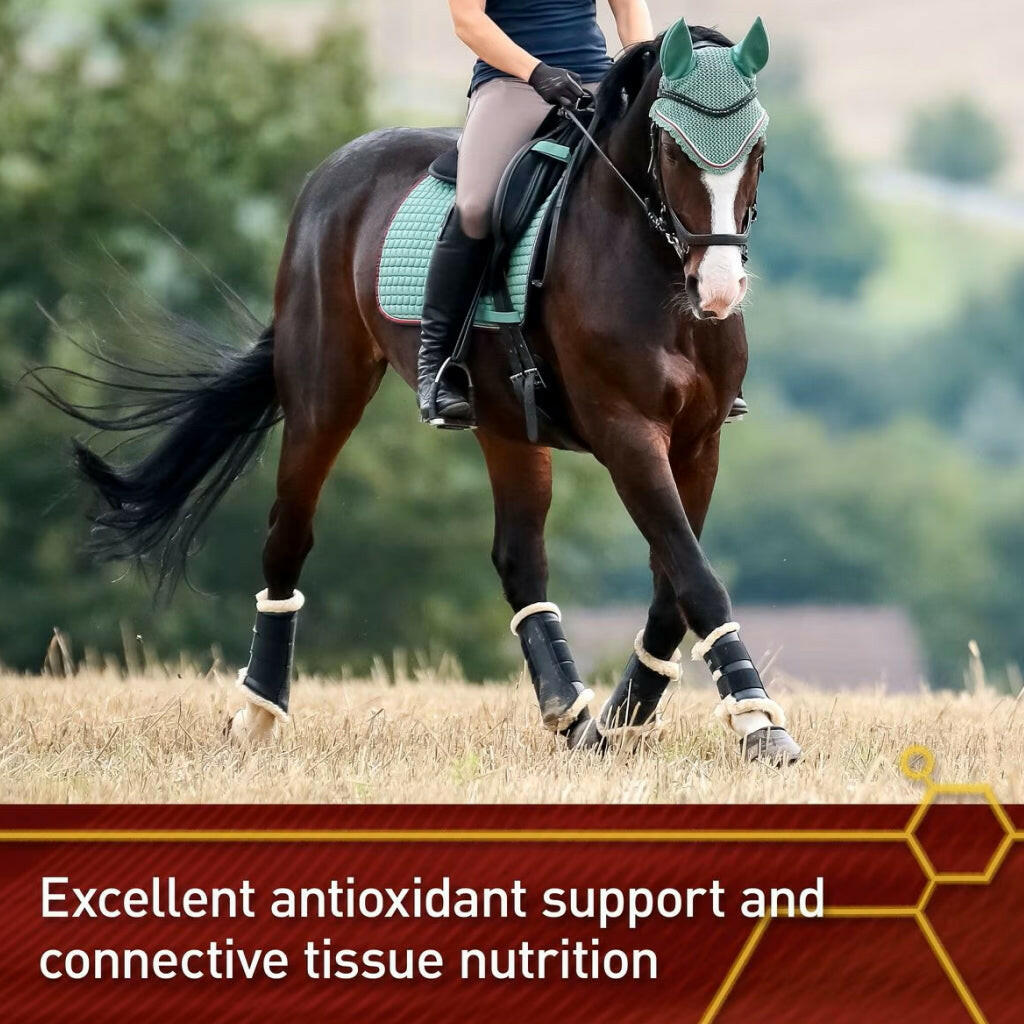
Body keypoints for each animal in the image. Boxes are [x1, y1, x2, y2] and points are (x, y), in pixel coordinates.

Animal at [34, 18, 802, 765]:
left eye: (758, 151)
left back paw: (572, 717)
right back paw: (258, 713)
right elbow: (695, 575)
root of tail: (332, 172)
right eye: (672, 150)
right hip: (325, 393)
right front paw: (760, 724)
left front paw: (624, 721)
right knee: (288, 536)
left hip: (505, 424)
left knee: (519, 559)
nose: (719, 290)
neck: (653, 273)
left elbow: (676, 585)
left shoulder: (699, 440)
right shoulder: (627, 434)